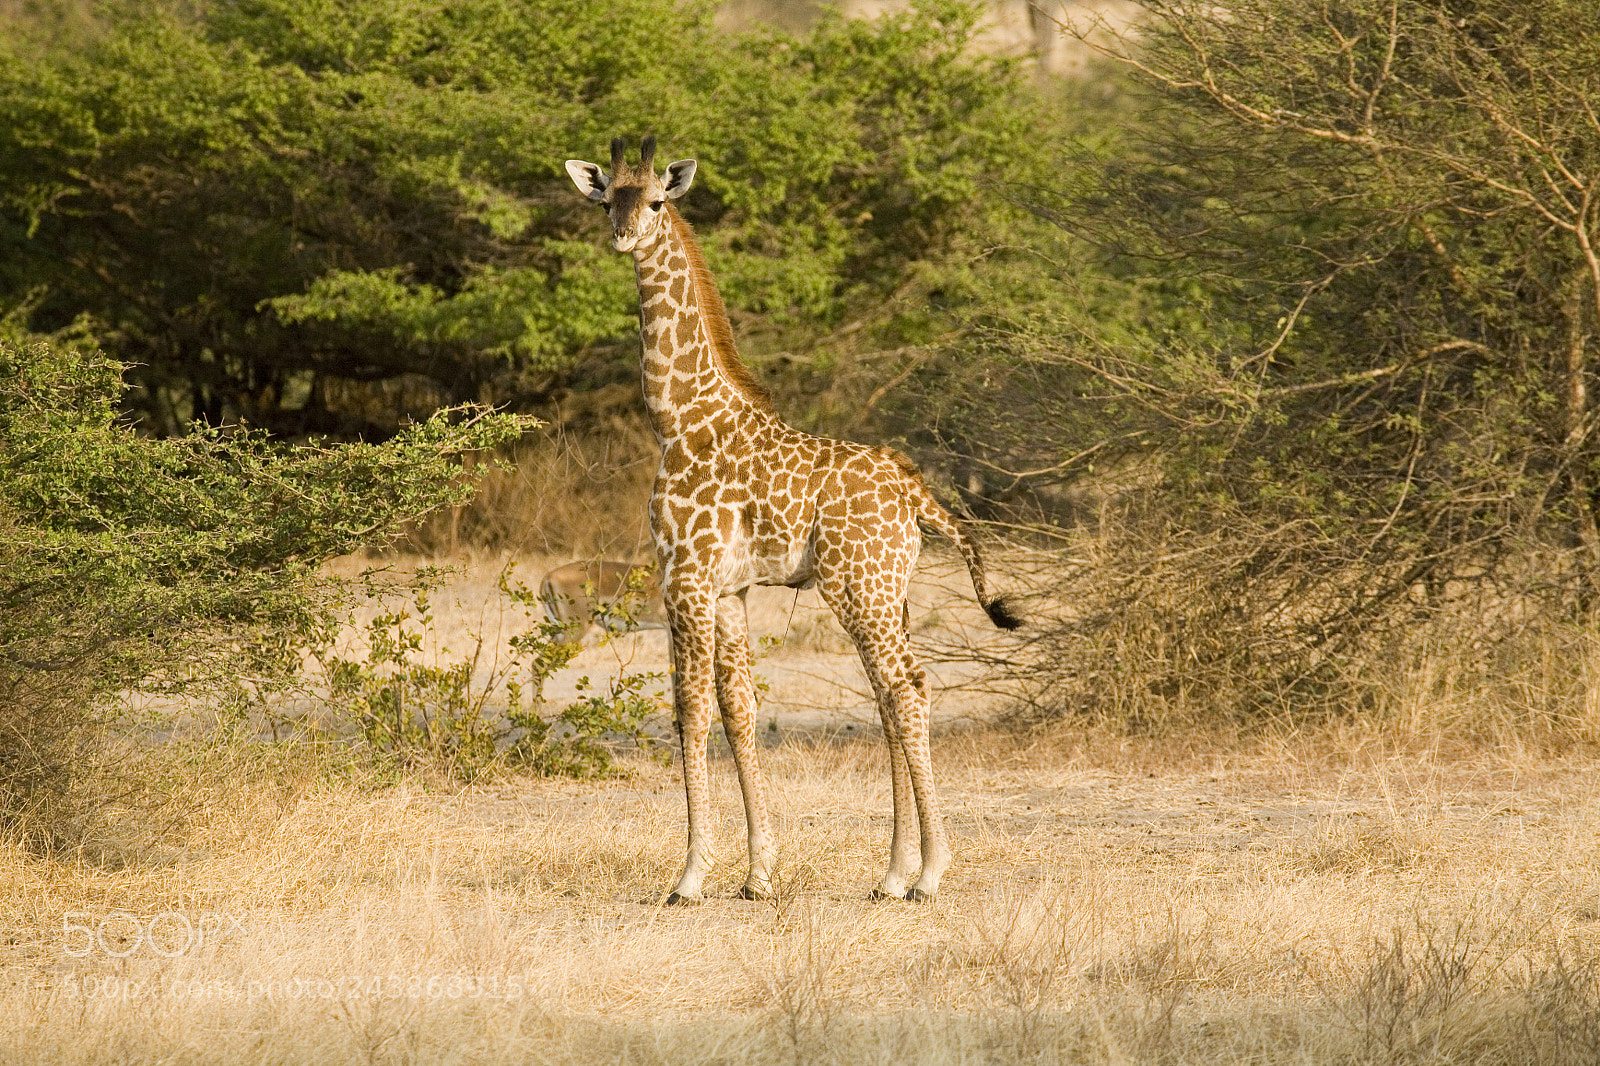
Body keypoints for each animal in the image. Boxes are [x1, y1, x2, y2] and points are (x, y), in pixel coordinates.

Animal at [564, 137, 1020, 903]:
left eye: (654, 201)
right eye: (606, 202)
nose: (622, 236)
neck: (678, 421)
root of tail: (915, 493)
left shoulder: (684, 577)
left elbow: (690, 711)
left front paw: (689, 876)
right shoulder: (731, 589)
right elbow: (739, 711)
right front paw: (757, 874)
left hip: (857, 587)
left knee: (908, 687)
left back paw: (929, 873)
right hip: (889, 590)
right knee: (890, 697)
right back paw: (893, 874)